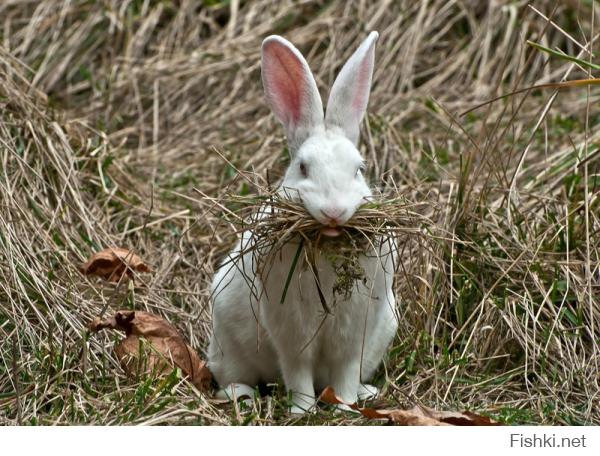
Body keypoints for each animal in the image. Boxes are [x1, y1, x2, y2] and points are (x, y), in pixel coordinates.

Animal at [207, 31, 398, 414]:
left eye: (359, 169)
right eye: (303, 168)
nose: (334, 211)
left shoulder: (353, 335)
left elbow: (344, 372)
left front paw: (344, 407)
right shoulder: (291, 334)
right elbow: (298, 373)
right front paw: (303, 412)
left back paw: (367, 393)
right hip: (228, 344)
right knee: (231, 378)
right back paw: (242, 396)